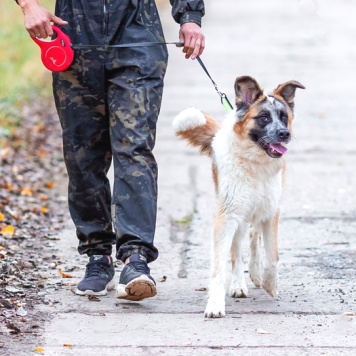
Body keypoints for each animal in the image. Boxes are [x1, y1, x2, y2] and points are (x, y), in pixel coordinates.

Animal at [172, 76, 304, 318]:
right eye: (263, 117)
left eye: (284, 117)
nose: (284, 134)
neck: (255, 164)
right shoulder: (228, 216)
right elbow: (220, 266)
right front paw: (216, 304)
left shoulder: (271, 212)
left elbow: (272, 257)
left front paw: (269, 283)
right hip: (239, 219)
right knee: (237, 251)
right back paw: (238, 284)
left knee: (253, 237)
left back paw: (255, 272)